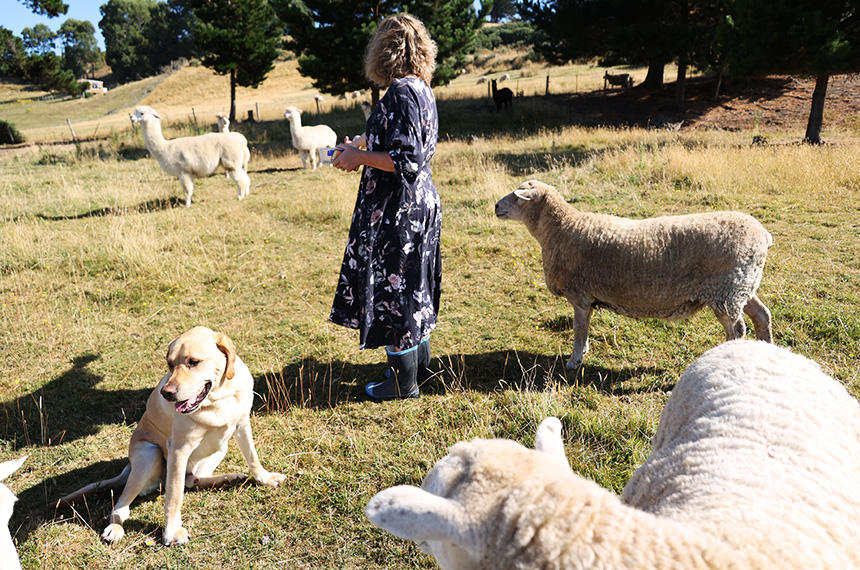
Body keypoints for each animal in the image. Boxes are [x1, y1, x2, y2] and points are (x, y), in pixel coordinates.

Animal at [61, 324, 282, 540]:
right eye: (170, 364)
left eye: (194, 362)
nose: (166, 394)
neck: (220, 397)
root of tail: (128, 467)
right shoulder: (179, 449)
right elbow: (174, 495)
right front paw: (172, 531)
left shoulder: (242, 424)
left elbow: (253, 457)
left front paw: (265, 478)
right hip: (149, 454)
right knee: (121, 506)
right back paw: (114, 528)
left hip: (221, 447)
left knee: (191, 480)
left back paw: (228, 478)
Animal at [494, 180, 776, 370]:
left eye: (518, 198)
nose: (496, 206)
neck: (562, 228)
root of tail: (764, 235)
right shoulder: (588, 299)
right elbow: (584, 328)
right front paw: (583, 350)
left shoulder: (580, 295)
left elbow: (578, 328)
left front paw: (574, 360)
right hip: (742, 285)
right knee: (762, 316)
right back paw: (768, 351)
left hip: (726, 291)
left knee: (737, 329)